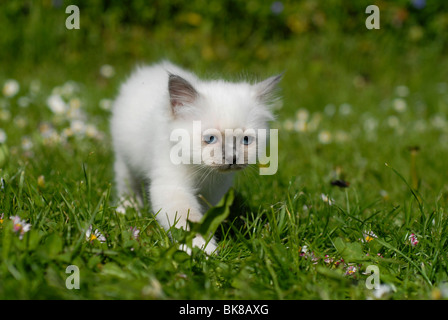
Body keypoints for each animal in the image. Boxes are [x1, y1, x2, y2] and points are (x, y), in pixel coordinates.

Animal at [110, 60, 282, 255]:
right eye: (211, 139)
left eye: (245, 140)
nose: (232, 158)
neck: (203, 173)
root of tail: (150, 69)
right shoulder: (171, 186)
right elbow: (188, 219)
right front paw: (202, 249)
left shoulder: (214, 191)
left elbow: (206, 218)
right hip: (125, 159)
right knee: (127, 184)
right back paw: (127, 208)